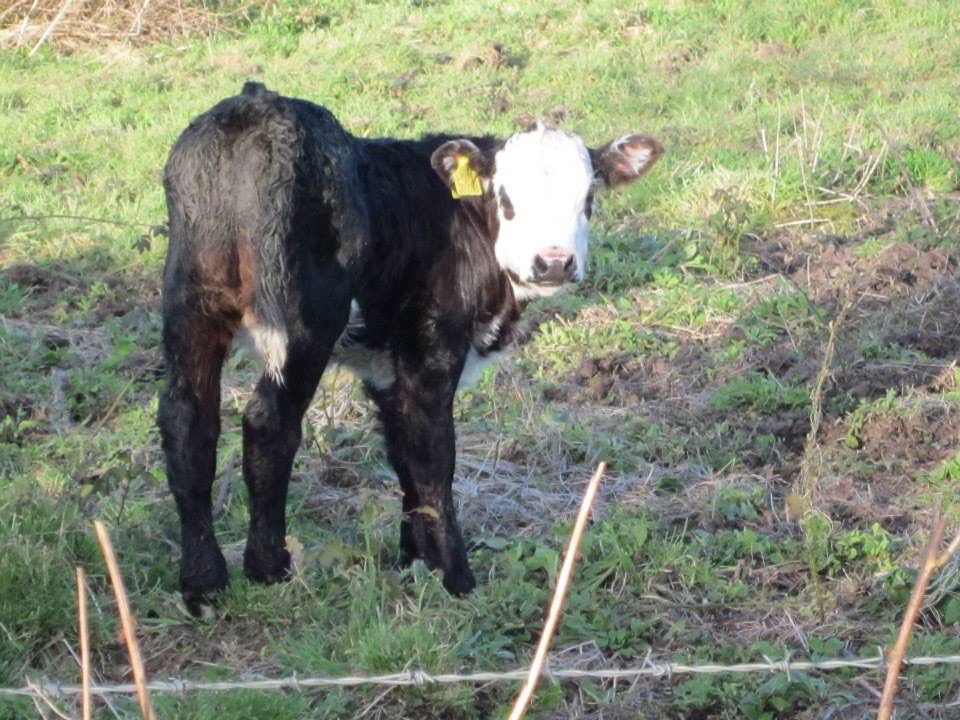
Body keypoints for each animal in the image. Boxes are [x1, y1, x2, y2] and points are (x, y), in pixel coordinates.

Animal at [159, 81, 661, 615]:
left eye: (588, 197)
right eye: (506, 199)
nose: (553, 263)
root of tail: (254, 109)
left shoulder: (385, 365)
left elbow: (401, 452)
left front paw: (413, 559)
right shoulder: (433, 351)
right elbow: (433, 459)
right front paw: (456, 577)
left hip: (189, 304)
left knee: (187, 421)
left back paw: (203, 582)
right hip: (305, 320)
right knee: (268, 423)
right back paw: (267, 567)